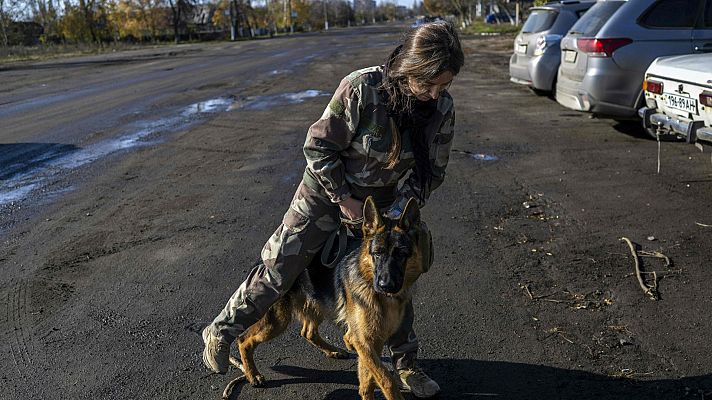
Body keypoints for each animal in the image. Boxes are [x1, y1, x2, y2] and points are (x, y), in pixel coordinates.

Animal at [228, 195, 428, 398]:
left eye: (402, 254)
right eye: (377, 253)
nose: (385, 285)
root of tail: (267, 258)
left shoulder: (372, 342)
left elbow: (369, 378)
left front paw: (365, 392)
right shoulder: (365, 341)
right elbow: (385, 378)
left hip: (315, 305)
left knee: (308, 332)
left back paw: (334, 350)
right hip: (278, 321)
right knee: (244, 340)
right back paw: (253, 375)